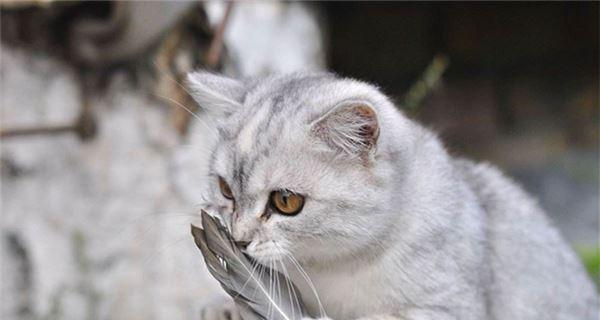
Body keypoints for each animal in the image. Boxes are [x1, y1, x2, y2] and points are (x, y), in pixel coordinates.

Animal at [184, 71, 600, 318]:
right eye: (225, 189)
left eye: (286, 202)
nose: (239, 239)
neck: (330, 270)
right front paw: (222, 307)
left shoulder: (445, 308)